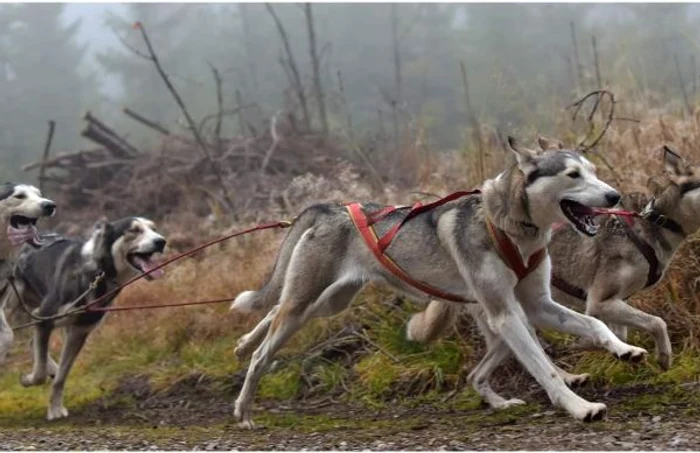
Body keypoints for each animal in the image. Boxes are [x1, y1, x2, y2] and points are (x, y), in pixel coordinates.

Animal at [3, 216, 167, 420]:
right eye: (134, 230)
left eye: (154, 229)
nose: (161, 241)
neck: (98, 273)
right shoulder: (45, 318)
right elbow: (39, 373)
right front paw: (28, 380)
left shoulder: (78, 332)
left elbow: (61, 378)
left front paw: (55, 408)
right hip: (12, 306)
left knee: (34, 344)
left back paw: (53, 369)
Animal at [232, 136, 648, 426]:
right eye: (573, 175)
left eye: (593, 170)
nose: (614, 195)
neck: (512, 227)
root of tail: (330, 208)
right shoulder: (505, 313)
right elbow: (544, 369)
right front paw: (579, 408)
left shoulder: (537, 306)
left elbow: (594, 324)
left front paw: (624, 350)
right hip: (307, 304)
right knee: (263, 351)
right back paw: (244, 406)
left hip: (330, 301)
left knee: (272, 311)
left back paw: (242, 342)